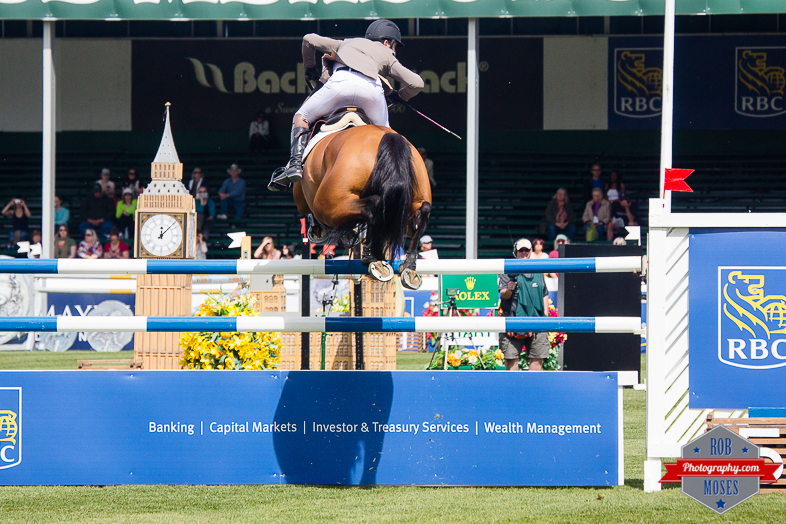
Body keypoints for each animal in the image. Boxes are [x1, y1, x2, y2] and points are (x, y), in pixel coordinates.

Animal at [291, 124, 432, 290]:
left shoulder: (305, 201)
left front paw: (320, 230)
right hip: (412, 196)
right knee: (423, 211)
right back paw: (407, 266)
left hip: (329, 205)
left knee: (372, 206)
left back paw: (369, 257)